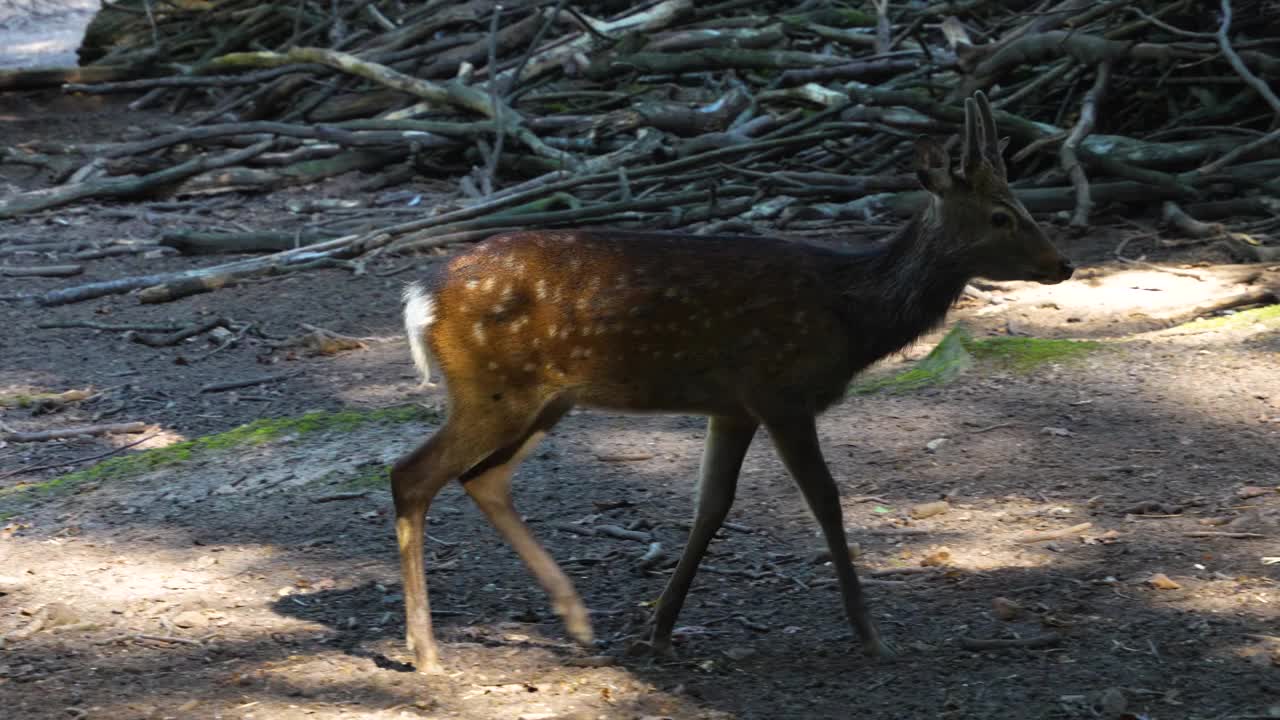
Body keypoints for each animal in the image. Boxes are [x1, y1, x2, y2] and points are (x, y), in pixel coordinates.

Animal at [389, 90, 1070, 671]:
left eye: (1022, 205)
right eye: (1001, 215)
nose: (1062, 265)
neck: (851, 315)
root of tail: (420, 298)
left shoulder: (733, 405)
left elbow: (711, 506)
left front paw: (659, 629)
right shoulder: (781, 390)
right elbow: (826, 500)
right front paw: (872, 635)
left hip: (543, 399)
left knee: (484, 478)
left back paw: (577, 621)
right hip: (495, 390)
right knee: (413, 475)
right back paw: (426, 651)